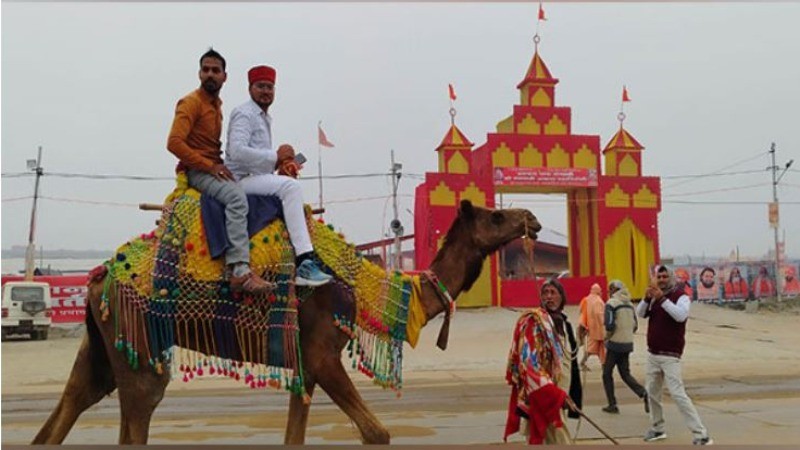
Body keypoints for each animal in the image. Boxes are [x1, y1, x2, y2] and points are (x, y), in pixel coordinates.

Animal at [32, 200, 544, 442]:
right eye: (495, 215)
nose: (533, 218)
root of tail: (100, 274)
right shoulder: (322, 354)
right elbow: (376, 432)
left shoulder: (305, 366)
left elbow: (293, 435)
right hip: (139, 342)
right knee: (139, 406)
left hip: (101, 344)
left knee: (69, 404)